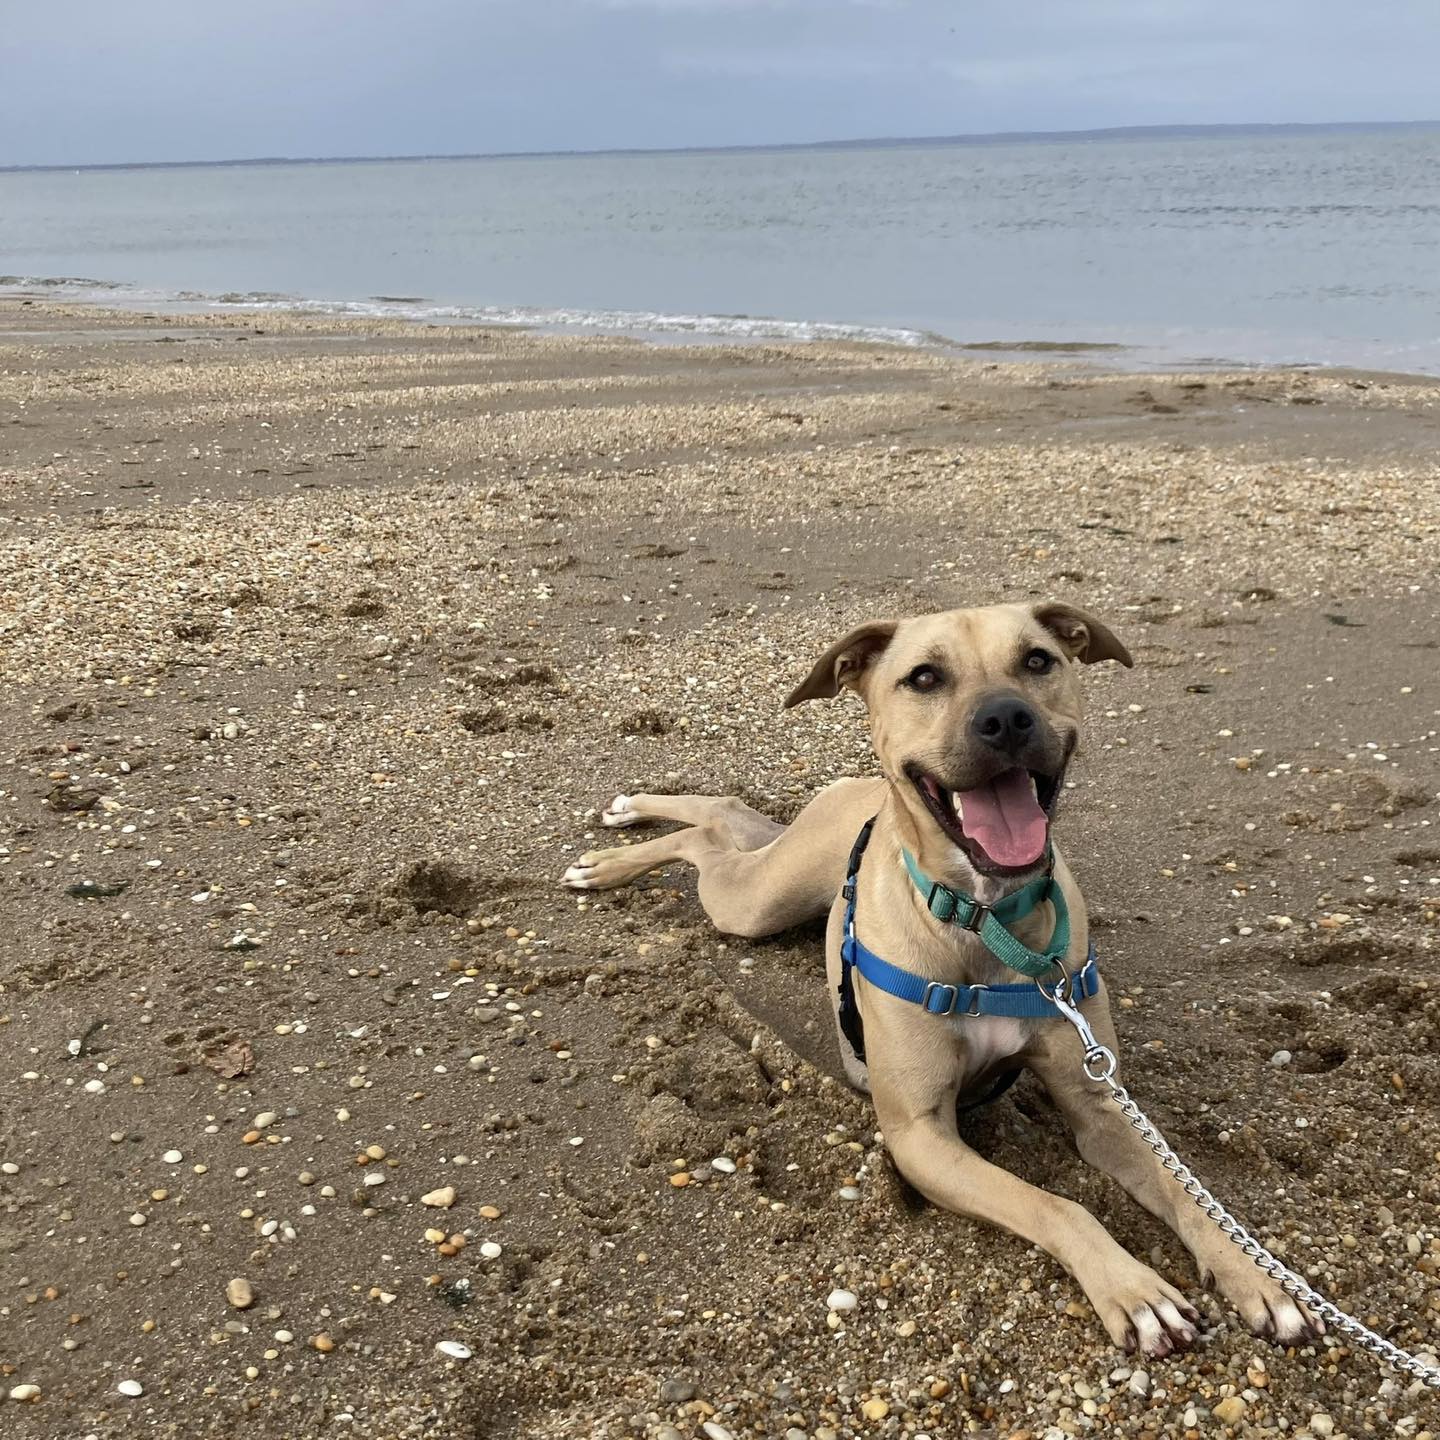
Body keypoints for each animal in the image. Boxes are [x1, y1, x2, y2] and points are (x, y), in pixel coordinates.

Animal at [558, 599, 1319, 1359]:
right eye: (924, 677)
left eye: (1038, 660)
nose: (1006, 719)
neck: (985, 920)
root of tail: (858, 789)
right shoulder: (921, 1136)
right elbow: (1058, 1204)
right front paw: (1135, 1291)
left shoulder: (1098, 1103)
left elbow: (1186, 1192)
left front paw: (1256, 1276)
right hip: (755, 904)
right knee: (707, 843)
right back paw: (610, 857)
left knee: (726, 817)